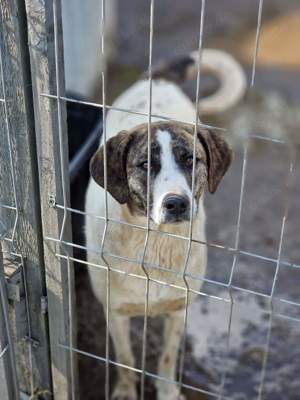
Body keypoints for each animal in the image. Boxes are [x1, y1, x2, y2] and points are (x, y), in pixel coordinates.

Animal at [85, 48, 246, 398]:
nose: (177, 203)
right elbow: (126, 359)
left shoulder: (178, 309)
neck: (156, 241)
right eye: (146, 164)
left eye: (191, 160)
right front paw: (126, 391)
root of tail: (155, 80)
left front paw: (168, 390)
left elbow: (169, 357)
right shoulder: (115, 312)